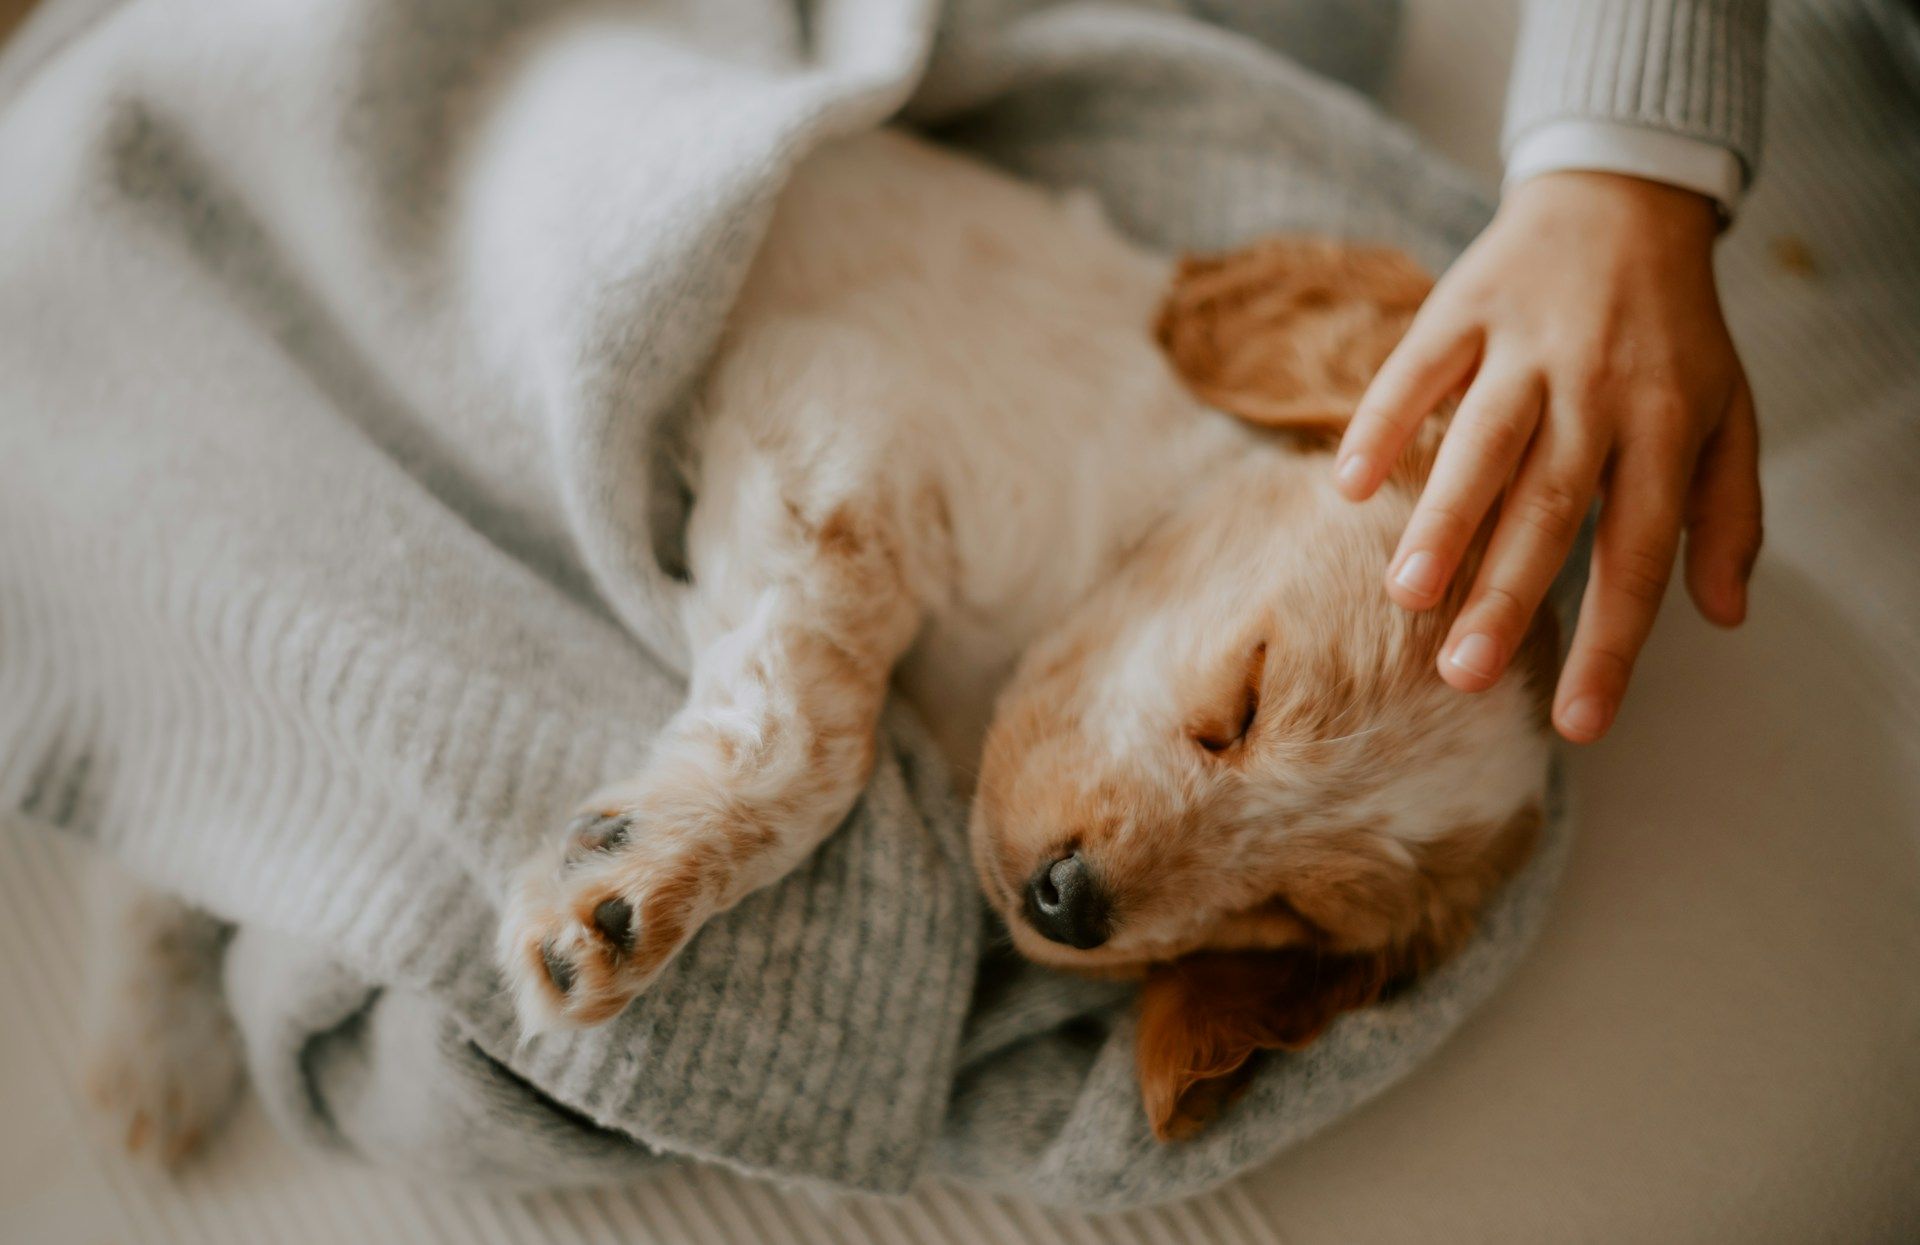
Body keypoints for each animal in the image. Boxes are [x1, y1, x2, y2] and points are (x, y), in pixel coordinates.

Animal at [491, 133, 1543, 1137]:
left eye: (1291, 910)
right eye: (1248, 698)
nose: (1069, 903)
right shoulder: (826, 407)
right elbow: (820, 723)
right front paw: (639, 886)